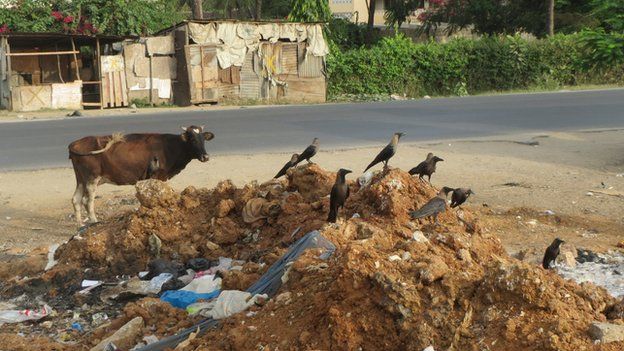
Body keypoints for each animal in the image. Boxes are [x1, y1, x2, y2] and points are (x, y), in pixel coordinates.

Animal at [68, 125, 214, 224]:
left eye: (203, 139)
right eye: (193, 139)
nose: (205, 157)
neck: (171, 146)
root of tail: (74, 143)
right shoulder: (158, 175)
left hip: (81, 179)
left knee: (76, 199)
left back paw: (80, 226)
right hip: (91, 178)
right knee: (87, 201)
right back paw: (94, 222)